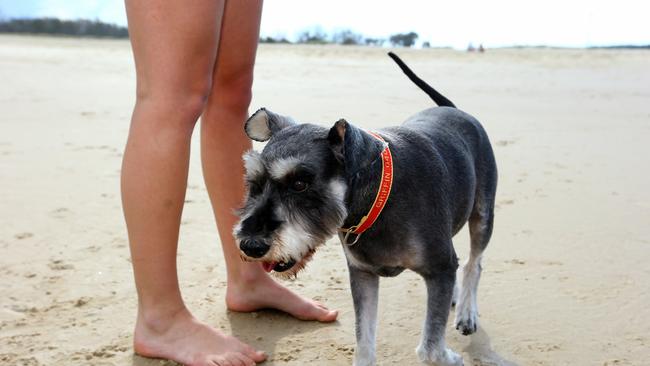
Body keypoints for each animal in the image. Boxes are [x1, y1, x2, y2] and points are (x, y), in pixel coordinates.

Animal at [234, 53, 496, 364]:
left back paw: (467, 313)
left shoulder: (439, 267)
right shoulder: (363, 275)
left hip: (483, 215)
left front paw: (450, 358)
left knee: (473, 263)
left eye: (300, 183)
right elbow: (364, 342)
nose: (250, 245)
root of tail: (453, 110)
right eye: (254, 183)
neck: (378, 202)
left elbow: (430, 347)